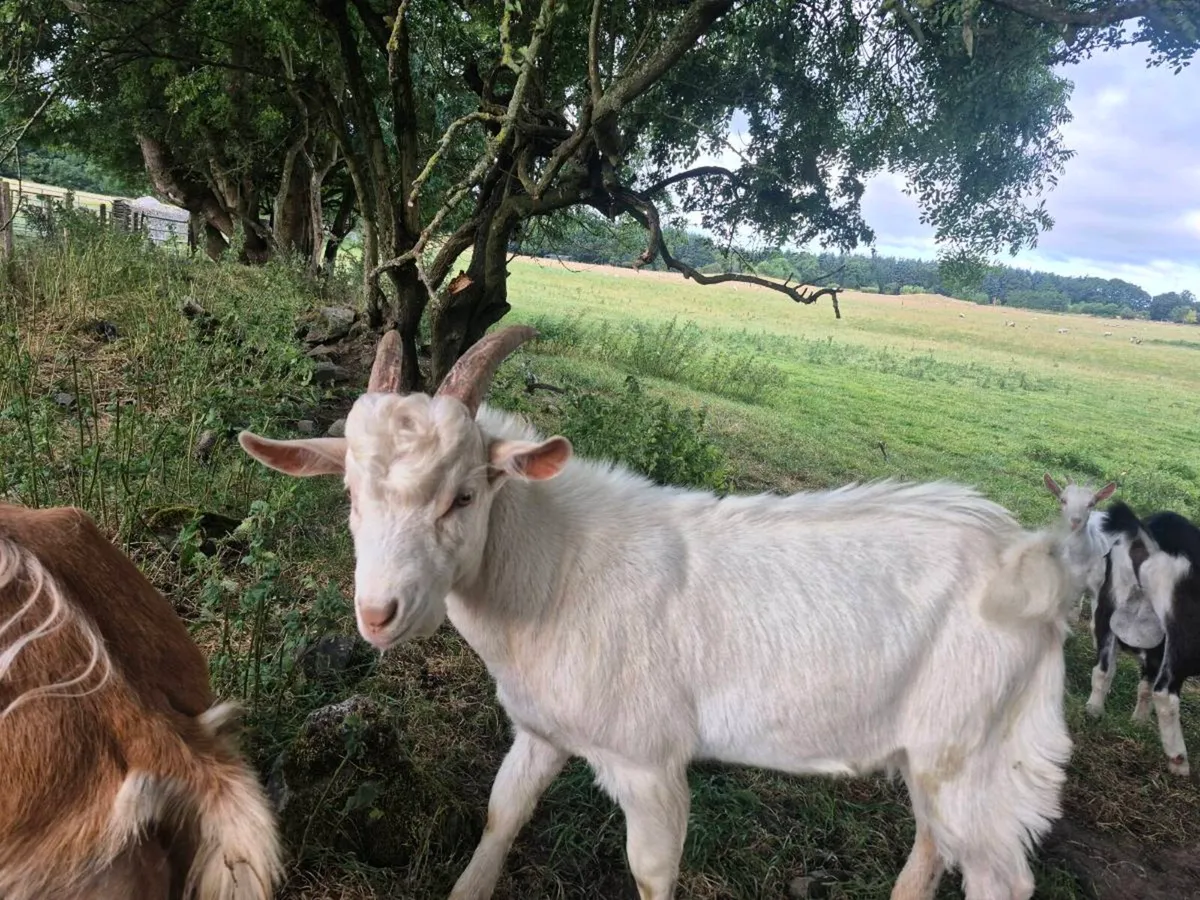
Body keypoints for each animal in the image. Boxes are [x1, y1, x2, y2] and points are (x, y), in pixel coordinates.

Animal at [240, 327, 1080, 900]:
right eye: (350, 493)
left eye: (464, 496)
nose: (379, 613)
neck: (557, 576)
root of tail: (1026, 557)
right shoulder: (542, 729)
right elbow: (503, 813)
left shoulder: (648, 761)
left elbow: (650, 873)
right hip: (934, 750)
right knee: (934, 842)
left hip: (978, 743)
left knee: (996, 874)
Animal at [1086, 501, 1200, 776]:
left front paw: (1137, 722)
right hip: (1185, 636)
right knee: (1165, 692)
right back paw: (1179, 761)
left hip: (1110, 600)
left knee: (1105, 668)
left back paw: (1096, 711)